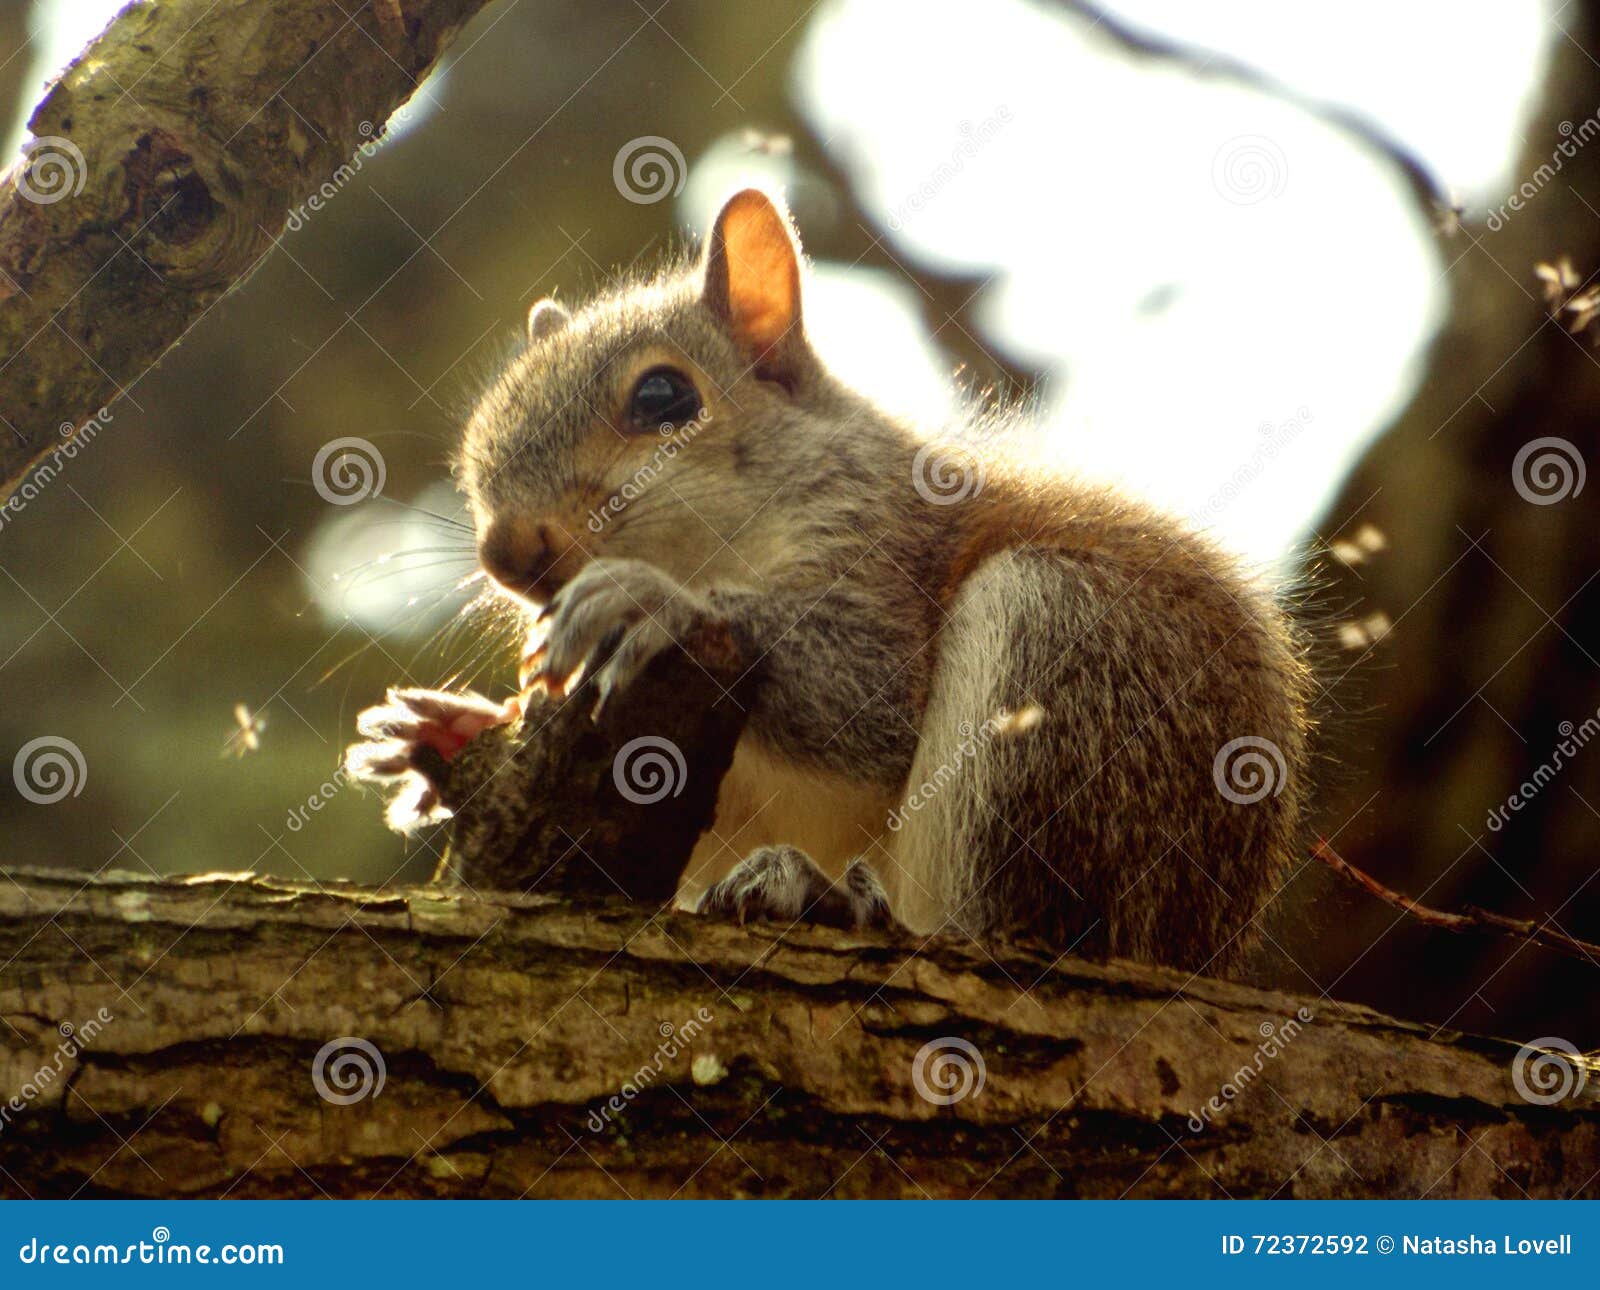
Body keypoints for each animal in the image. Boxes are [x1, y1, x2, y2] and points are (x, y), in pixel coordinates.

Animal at [347, 188, 1314, 975]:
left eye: (663, 397)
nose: (508, 553)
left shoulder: (883, 553)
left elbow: (873, 702)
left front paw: (652, 600)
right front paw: (452, 730)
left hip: (1063, 656)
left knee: (1003, 925)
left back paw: (841, 901)